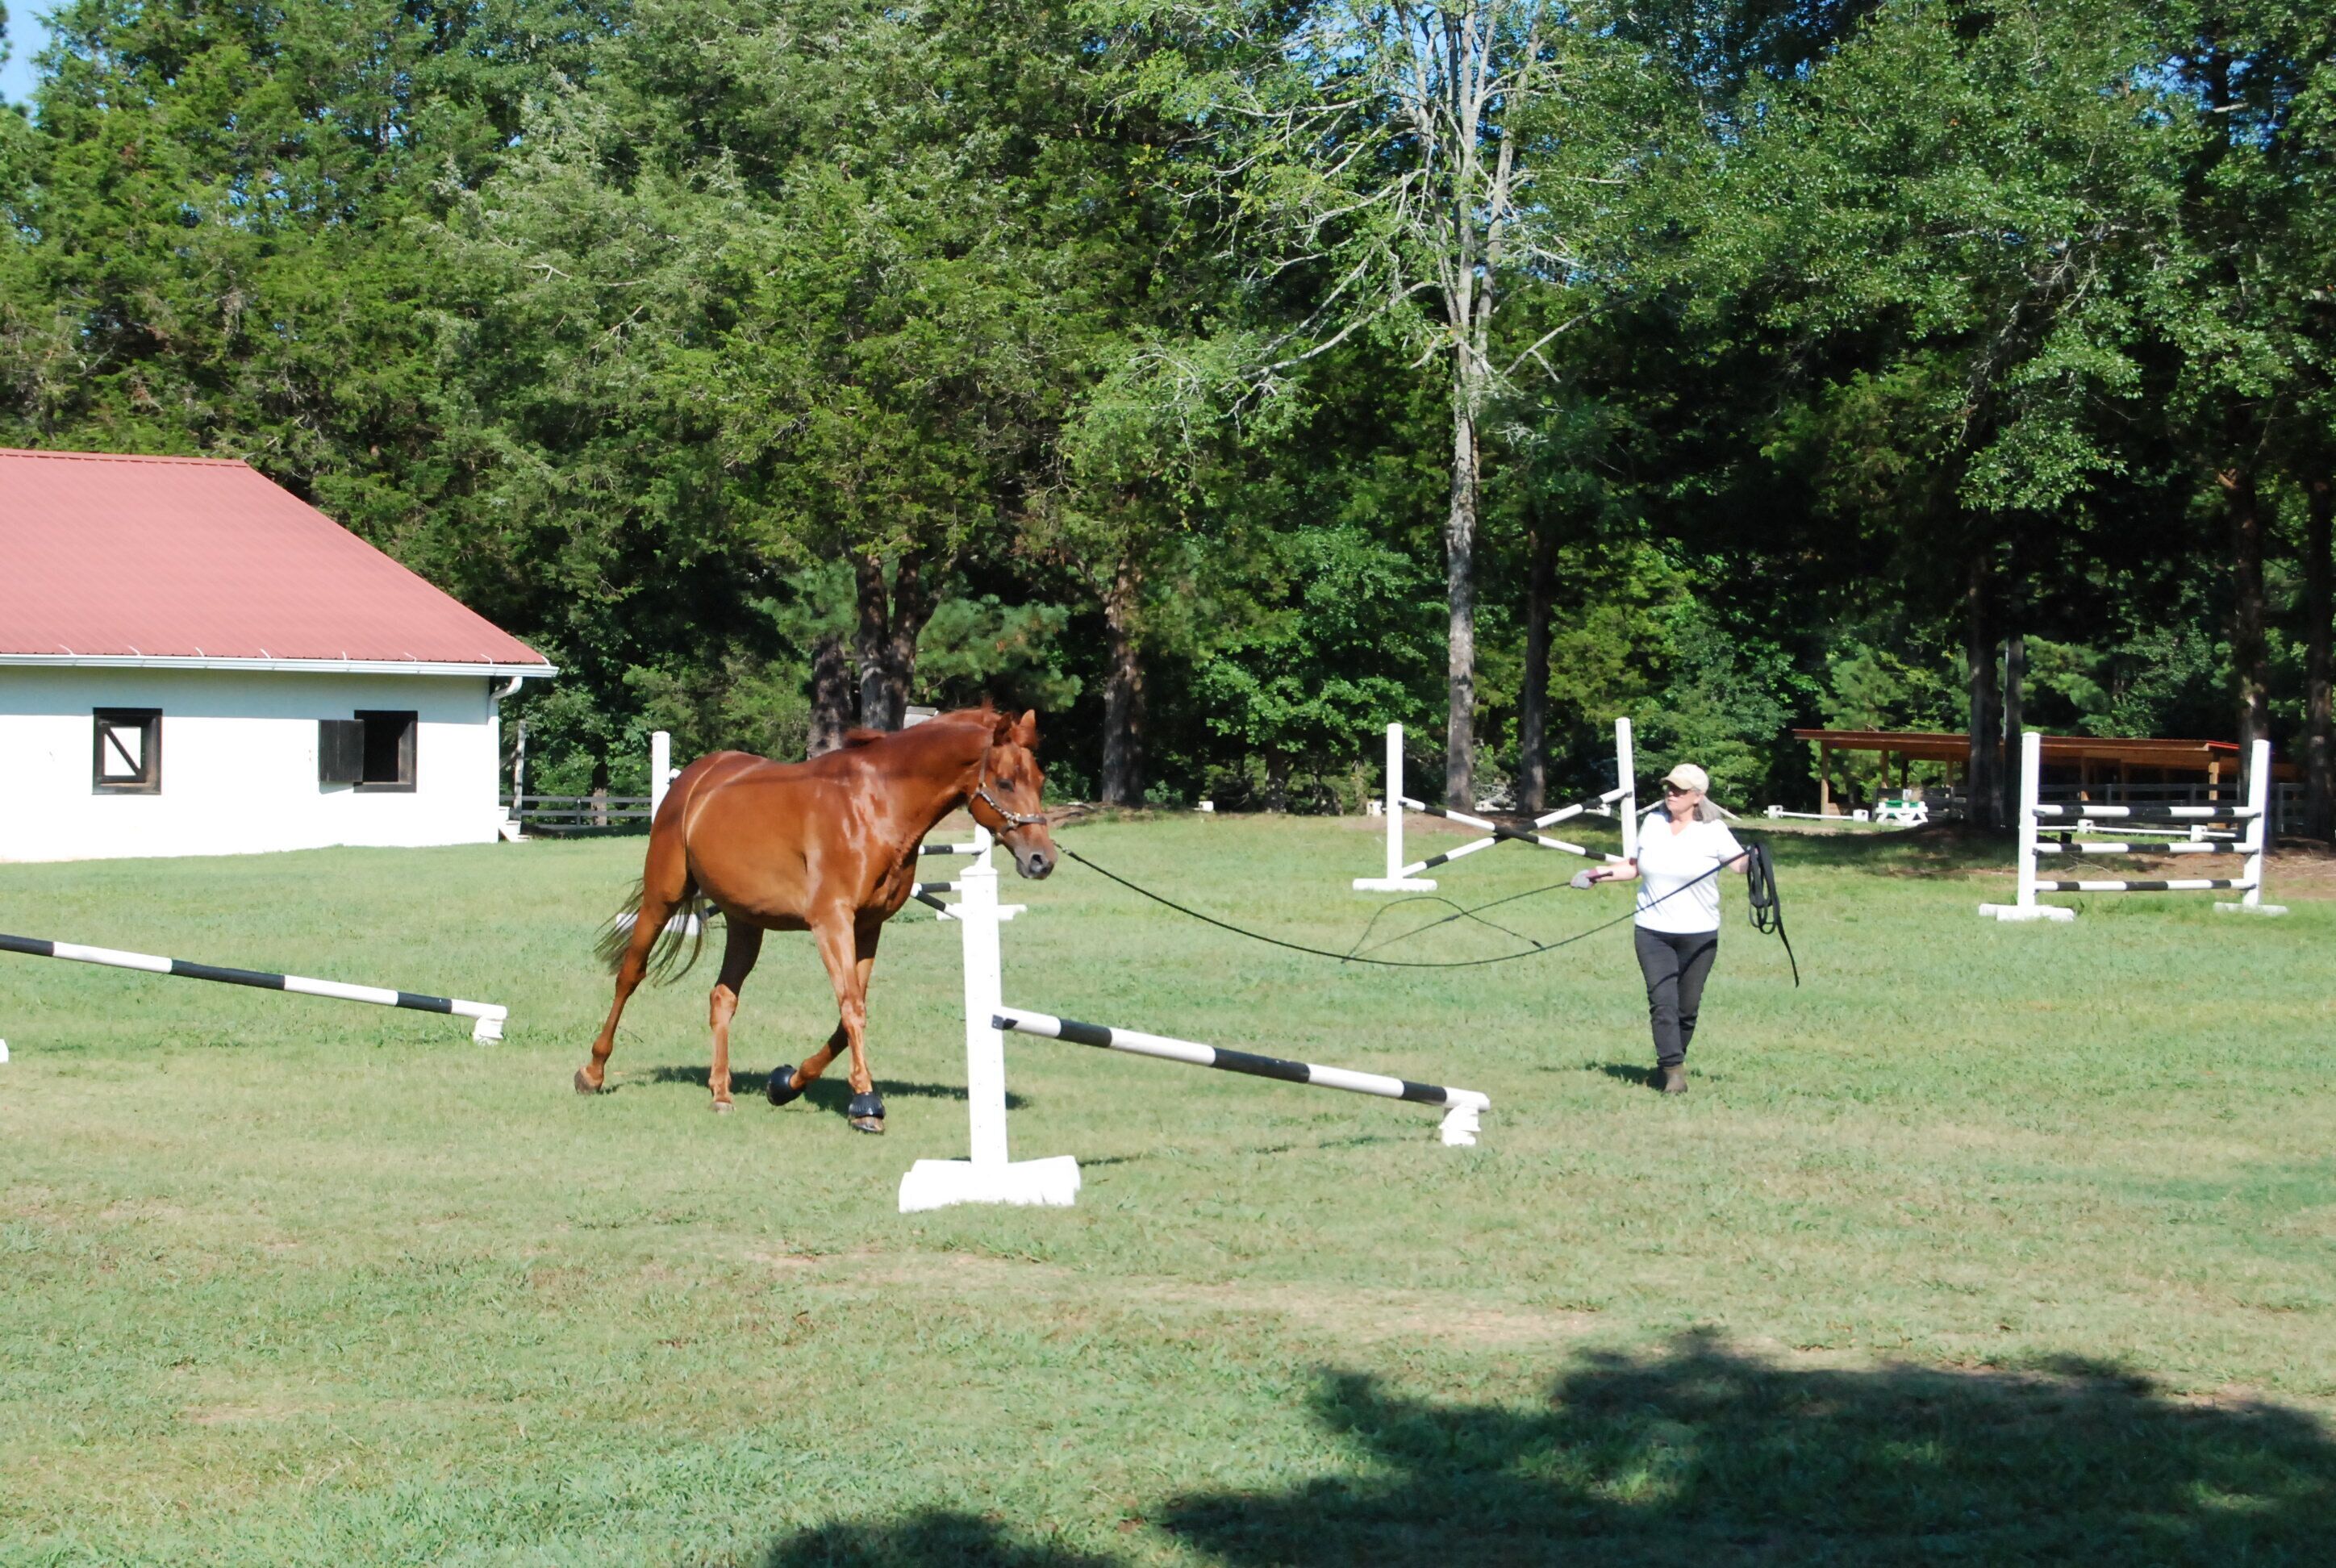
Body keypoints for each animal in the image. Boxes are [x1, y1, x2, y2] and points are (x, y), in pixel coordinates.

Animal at [576, 706, 1057, 1132]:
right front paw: (866, 1104)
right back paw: (593, 1072)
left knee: (722, 997)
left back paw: (721, 1091)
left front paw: (786, 1083)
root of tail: (695, 779)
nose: (1042, 860)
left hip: (746, 923)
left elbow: (848, 1017)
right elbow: (852, 1009)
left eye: (1039, 780)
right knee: (630, 975)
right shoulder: (832, 922)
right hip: (662, 897)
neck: (873, 805)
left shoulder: (868, 926)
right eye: (1005, 782)